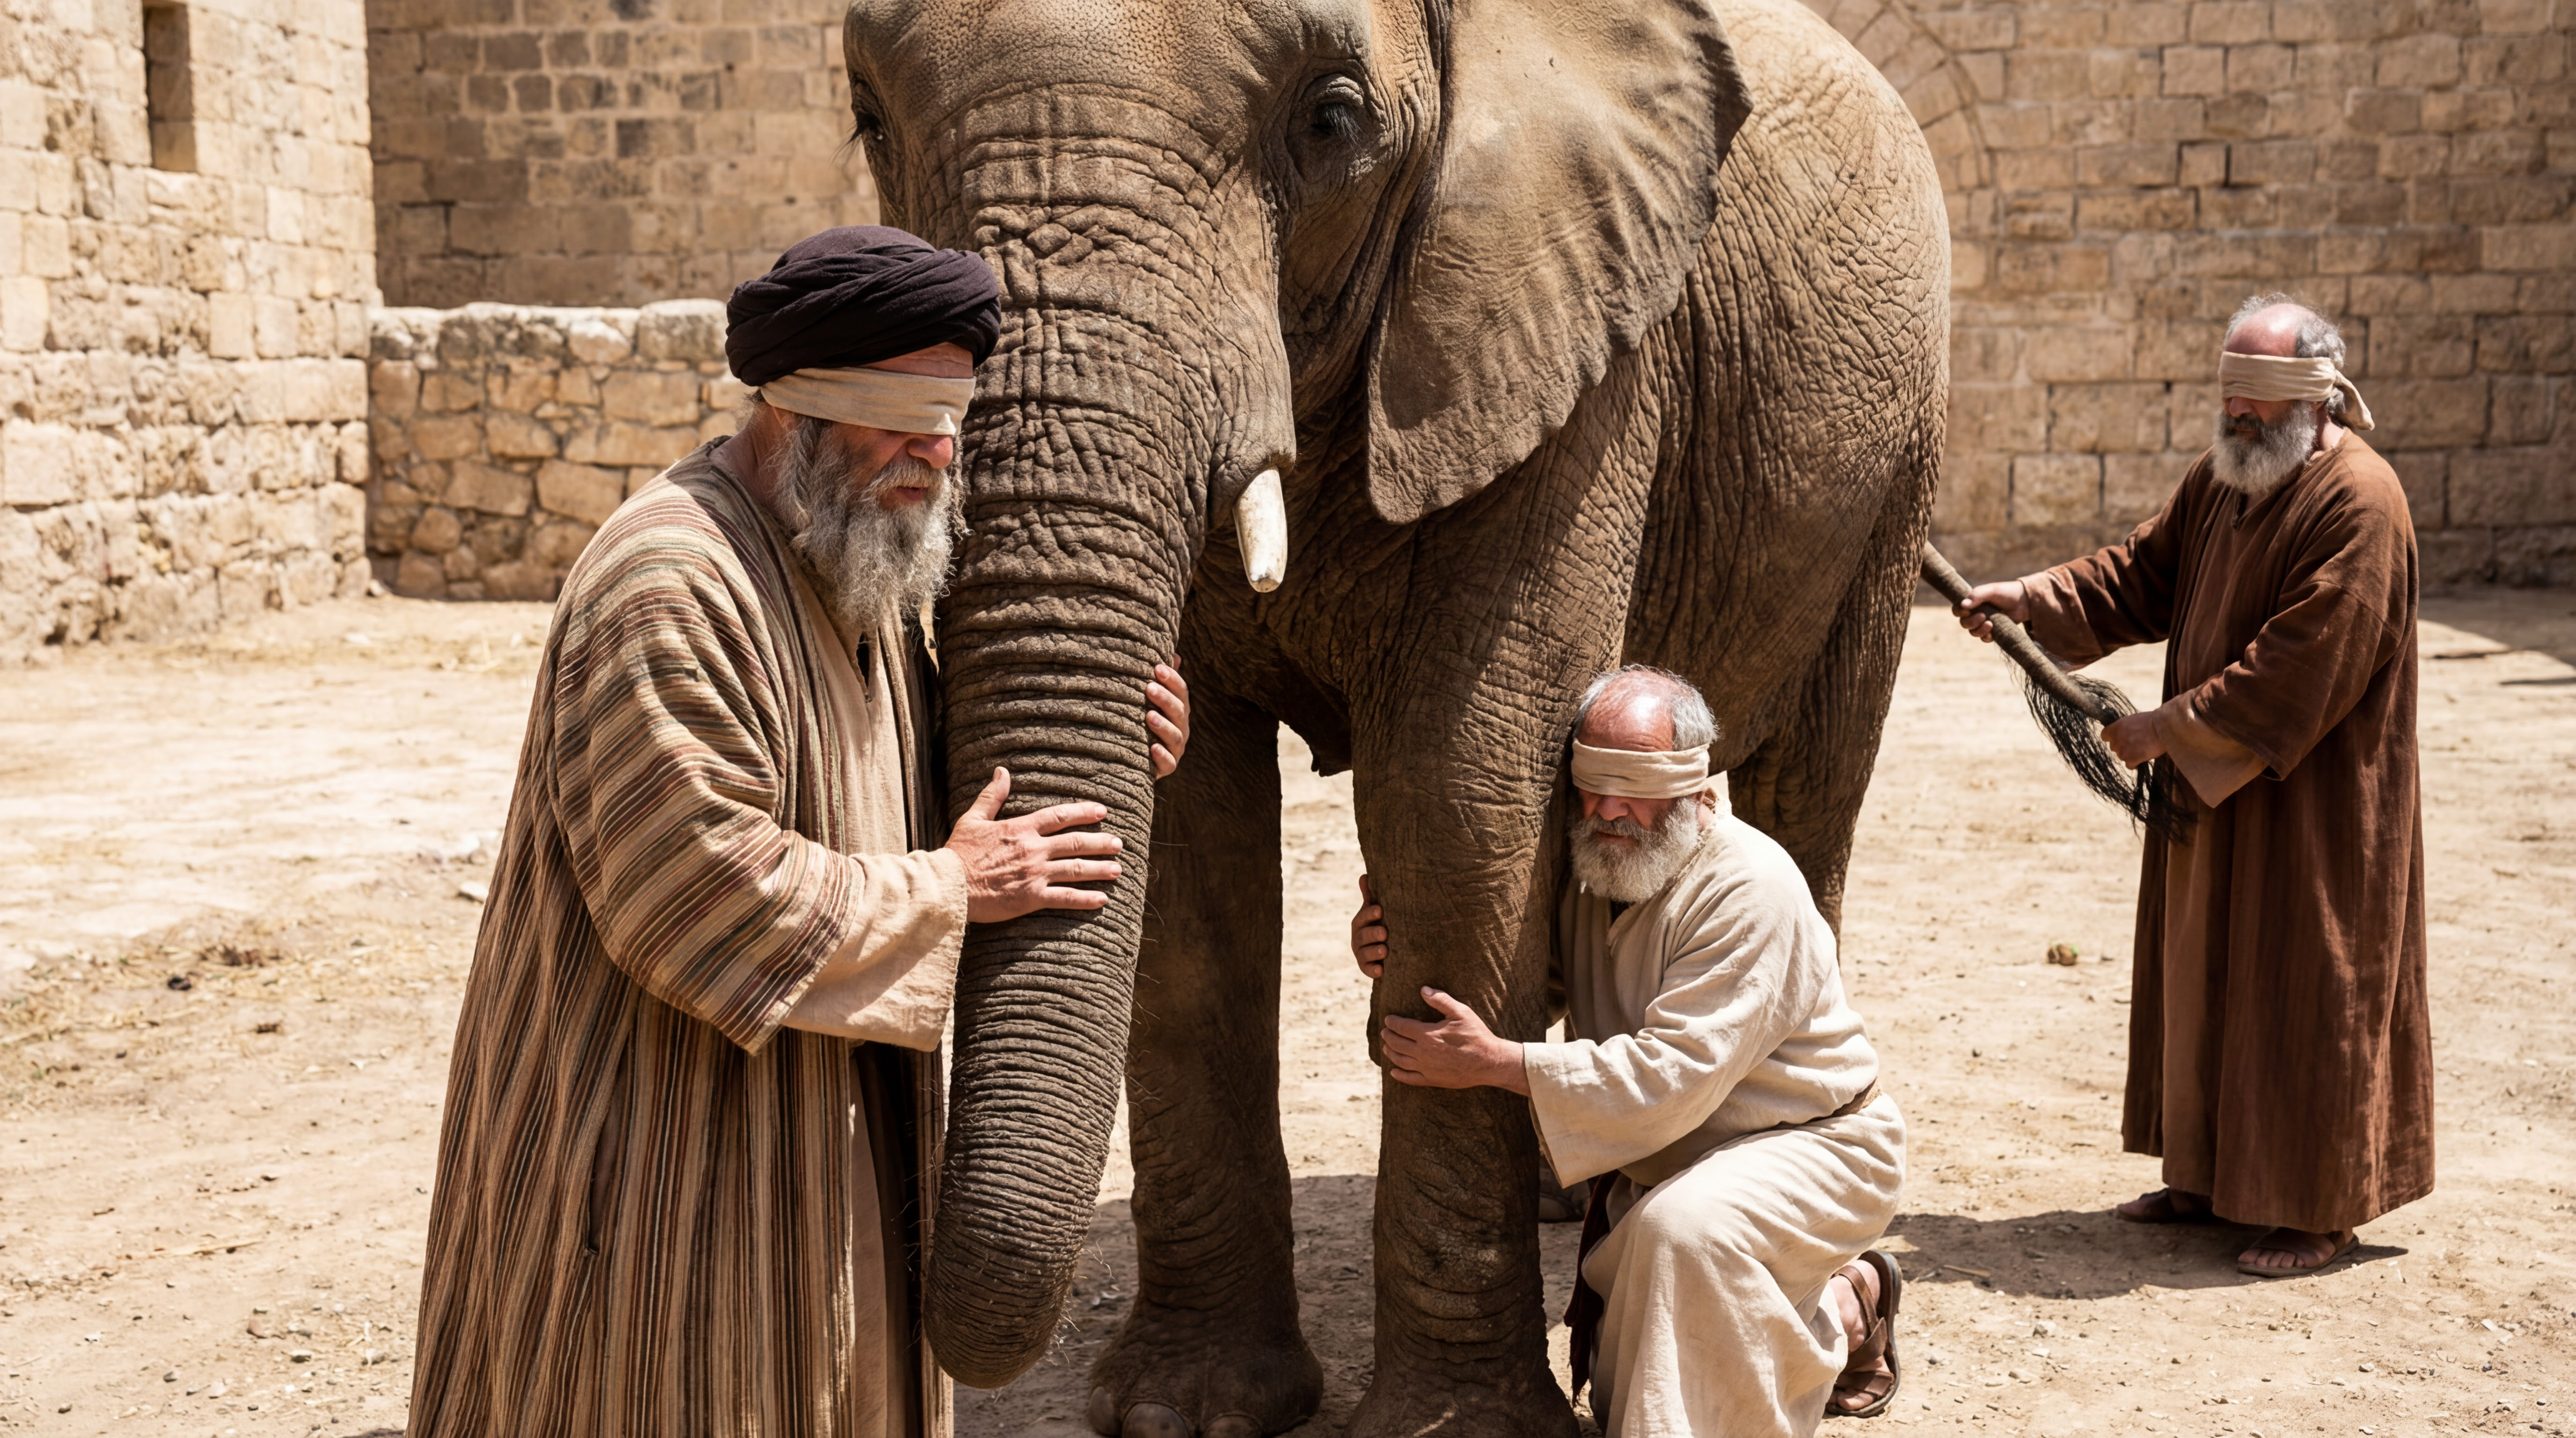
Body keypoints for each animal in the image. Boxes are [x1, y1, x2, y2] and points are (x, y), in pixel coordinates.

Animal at [838, 0, 1948, 1431]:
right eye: (870, 118)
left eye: (1331, 122)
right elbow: (1192, 847)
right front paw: (1189, 1413)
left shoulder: (1574, 349)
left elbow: (1460, 784)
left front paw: (1450, 1425)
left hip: (1890, 463)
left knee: (1809, 797)